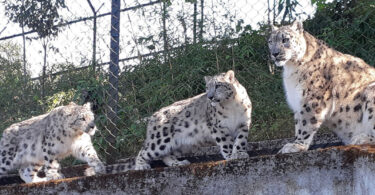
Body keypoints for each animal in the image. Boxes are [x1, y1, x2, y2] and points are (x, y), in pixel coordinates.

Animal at [268, 20, 375, 154]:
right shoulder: (298, 101)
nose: (274, 53)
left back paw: (360, 138)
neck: (290, 69)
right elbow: (298, 123)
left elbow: (305, 123)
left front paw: (296, 145)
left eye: (285, 39)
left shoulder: (311, 99)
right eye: (270, 41)